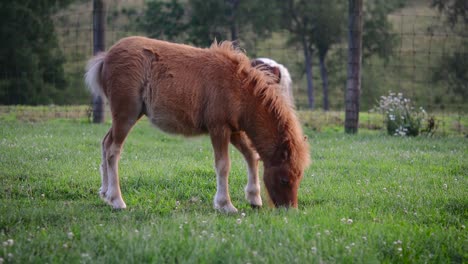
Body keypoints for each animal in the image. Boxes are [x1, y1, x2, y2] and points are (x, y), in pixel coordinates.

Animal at [85, 36, 308, 212]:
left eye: (299, 178)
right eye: (284, 180)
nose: (290, 210)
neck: (239, 88)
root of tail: (106, 57)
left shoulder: (235, 130)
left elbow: (251, 156)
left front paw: (254, 198)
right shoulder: (219, 128)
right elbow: (223, 165)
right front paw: (225, 205)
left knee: (105, 143)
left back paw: (104, 192)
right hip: (126, 114)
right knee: (113, 150)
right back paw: (116, 200)